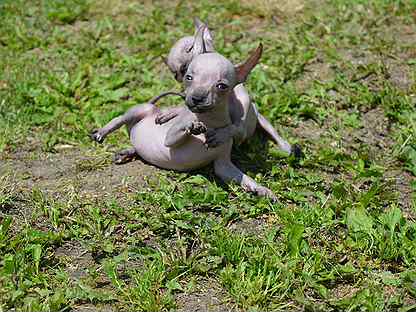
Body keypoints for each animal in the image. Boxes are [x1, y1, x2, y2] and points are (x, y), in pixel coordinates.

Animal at [92, 28, 280, 200]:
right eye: (189, 77)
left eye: (221, 86)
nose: (197, 98)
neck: (211, 120)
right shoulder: (169, 140)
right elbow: (177, 132)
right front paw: (193, 125)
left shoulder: (223, 165)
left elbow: (243, 177)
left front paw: (261, 189)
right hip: (141, 110)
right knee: (119, 119)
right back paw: (102, 132)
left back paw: (128, 152)